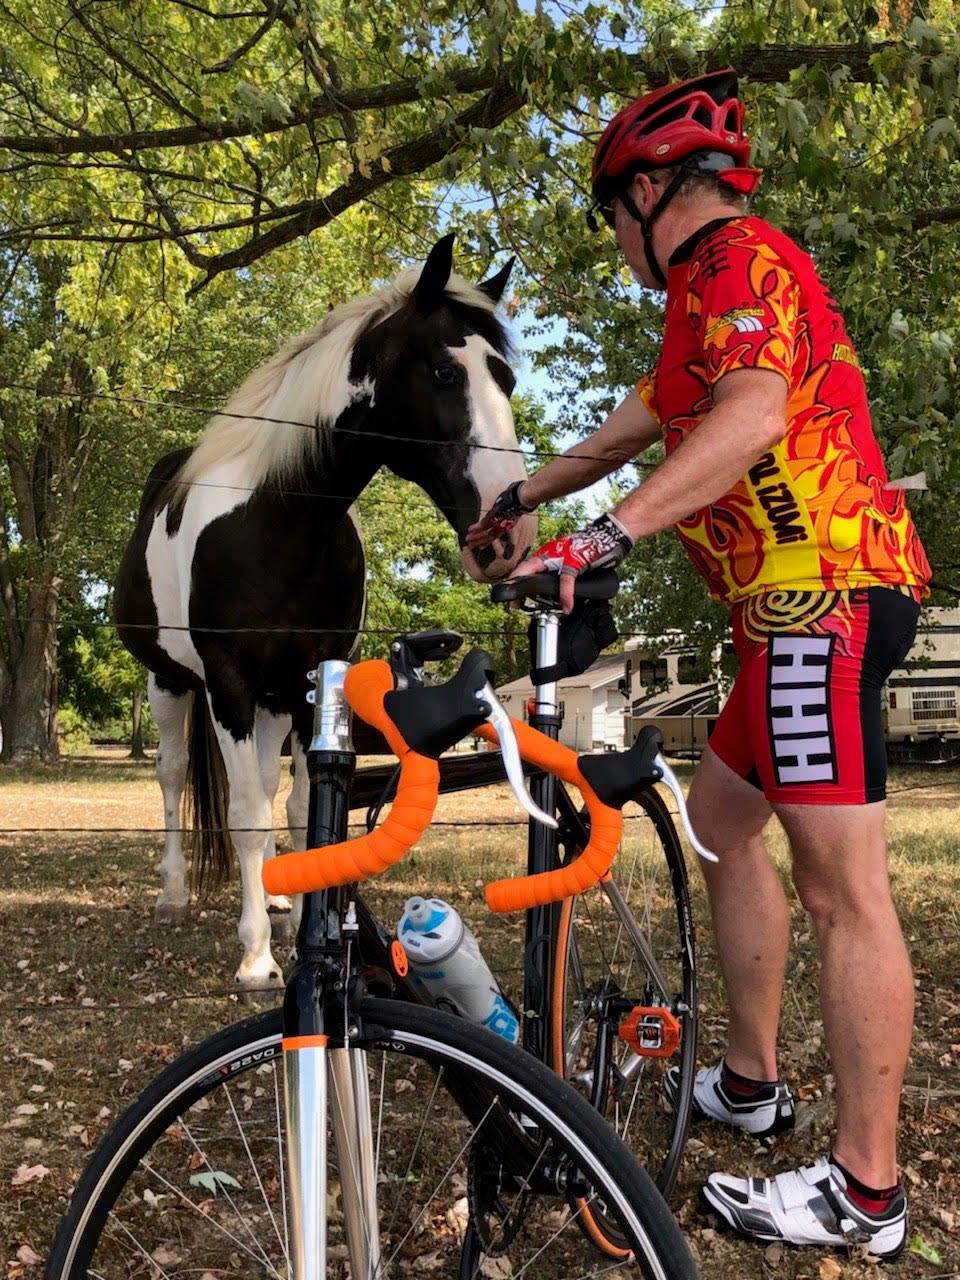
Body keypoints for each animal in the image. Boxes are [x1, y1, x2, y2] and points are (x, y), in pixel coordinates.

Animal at [115, 240, 537, 988]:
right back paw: (174, 893)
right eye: (444, 370)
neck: (279, 521)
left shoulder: (312, 678)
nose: (507, 533)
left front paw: (298, 920)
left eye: (507, 379)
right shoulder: (227, 682)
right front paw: (255, 957)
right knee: (172, 773)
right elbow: (247, 813)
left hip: (274, 697)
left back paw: (276, 896)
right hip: (173, 682)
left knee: (263, 779)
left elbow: (301, 806)